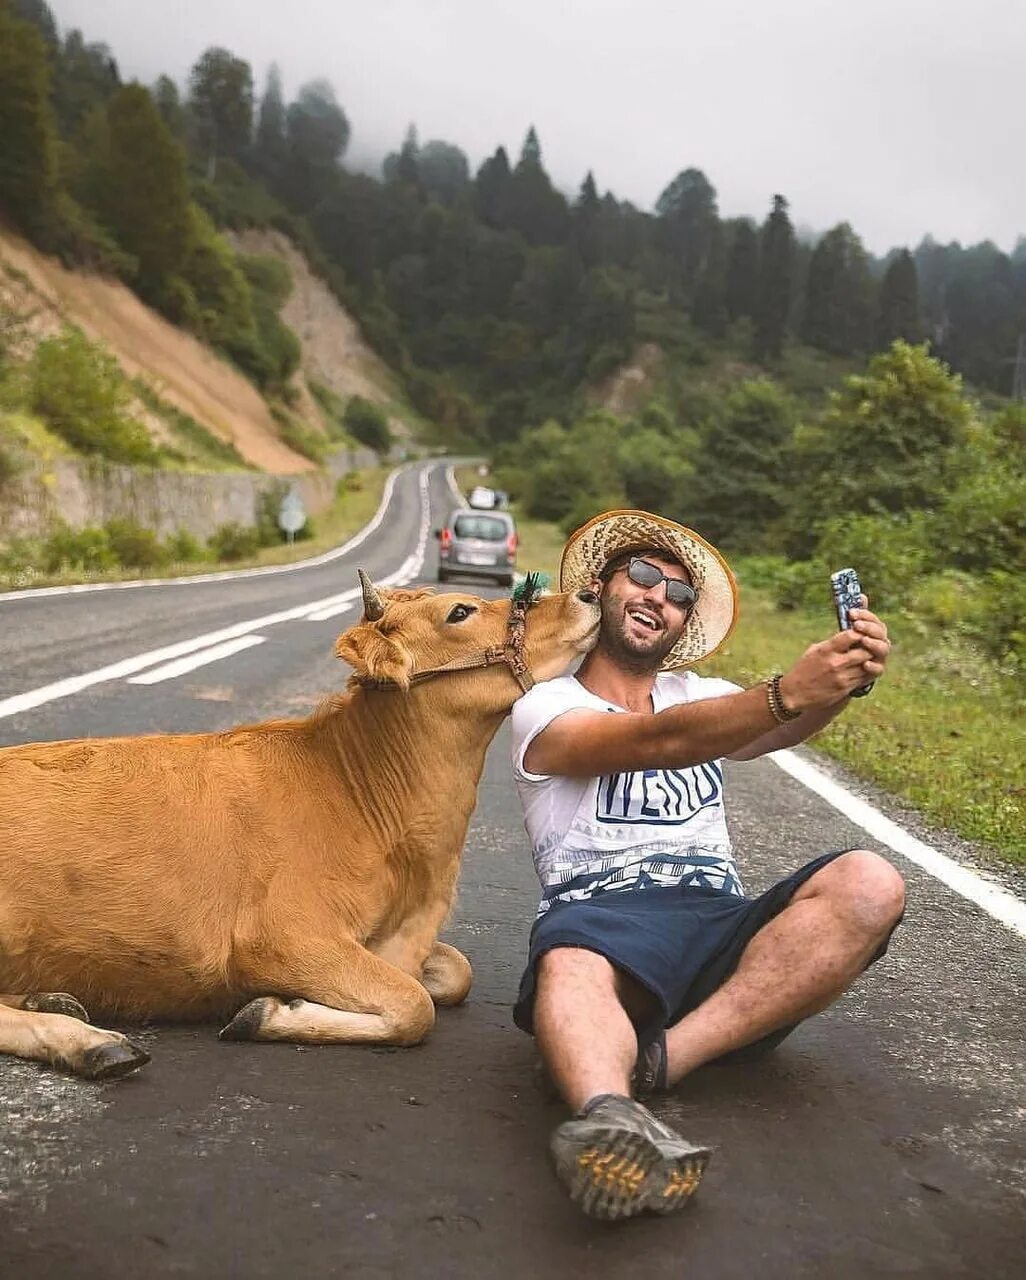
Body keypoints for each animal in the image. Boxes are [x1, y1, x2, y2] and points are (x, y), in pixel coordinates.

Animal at [0, 578, 596, 1080]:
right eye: (459, 612)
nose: (587, 594)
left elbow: (454, 973)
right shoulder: (280, 936)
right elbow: (413, 1004)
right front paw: (265, 1013)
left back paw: (52, 999)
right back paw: (87, 1040)